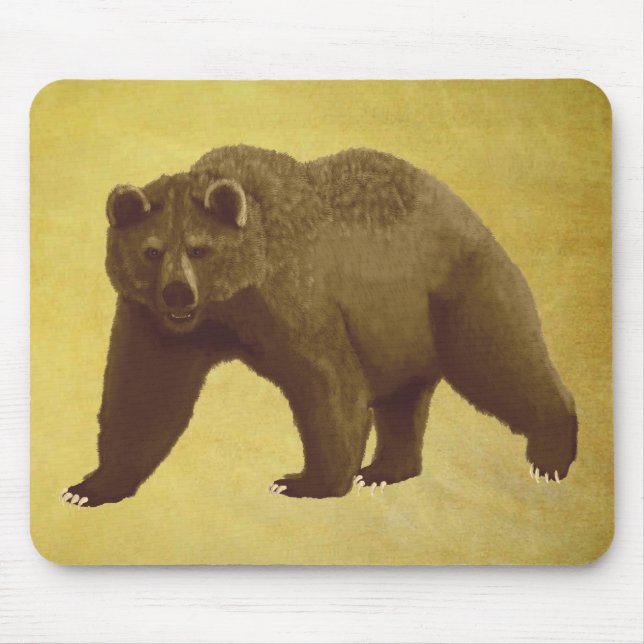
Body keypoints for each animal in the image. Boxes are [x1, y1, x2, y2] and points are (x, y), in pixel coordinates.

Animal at [61, 145, 577, 507]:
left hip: (458, 289)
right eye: (151, 250)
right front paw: (89, 486)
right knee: (402, 397)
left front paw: (302, 481)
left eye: (199, 248)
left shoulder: (294, 294)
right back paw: (386, 469)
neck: (228, 302)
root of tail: (464, 208)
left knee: (499, 361)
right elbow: (143, 395)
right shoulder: (155, 322)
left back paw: (551, 454)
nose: (176, 293)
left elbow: (328, 381)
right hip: (398, 328)